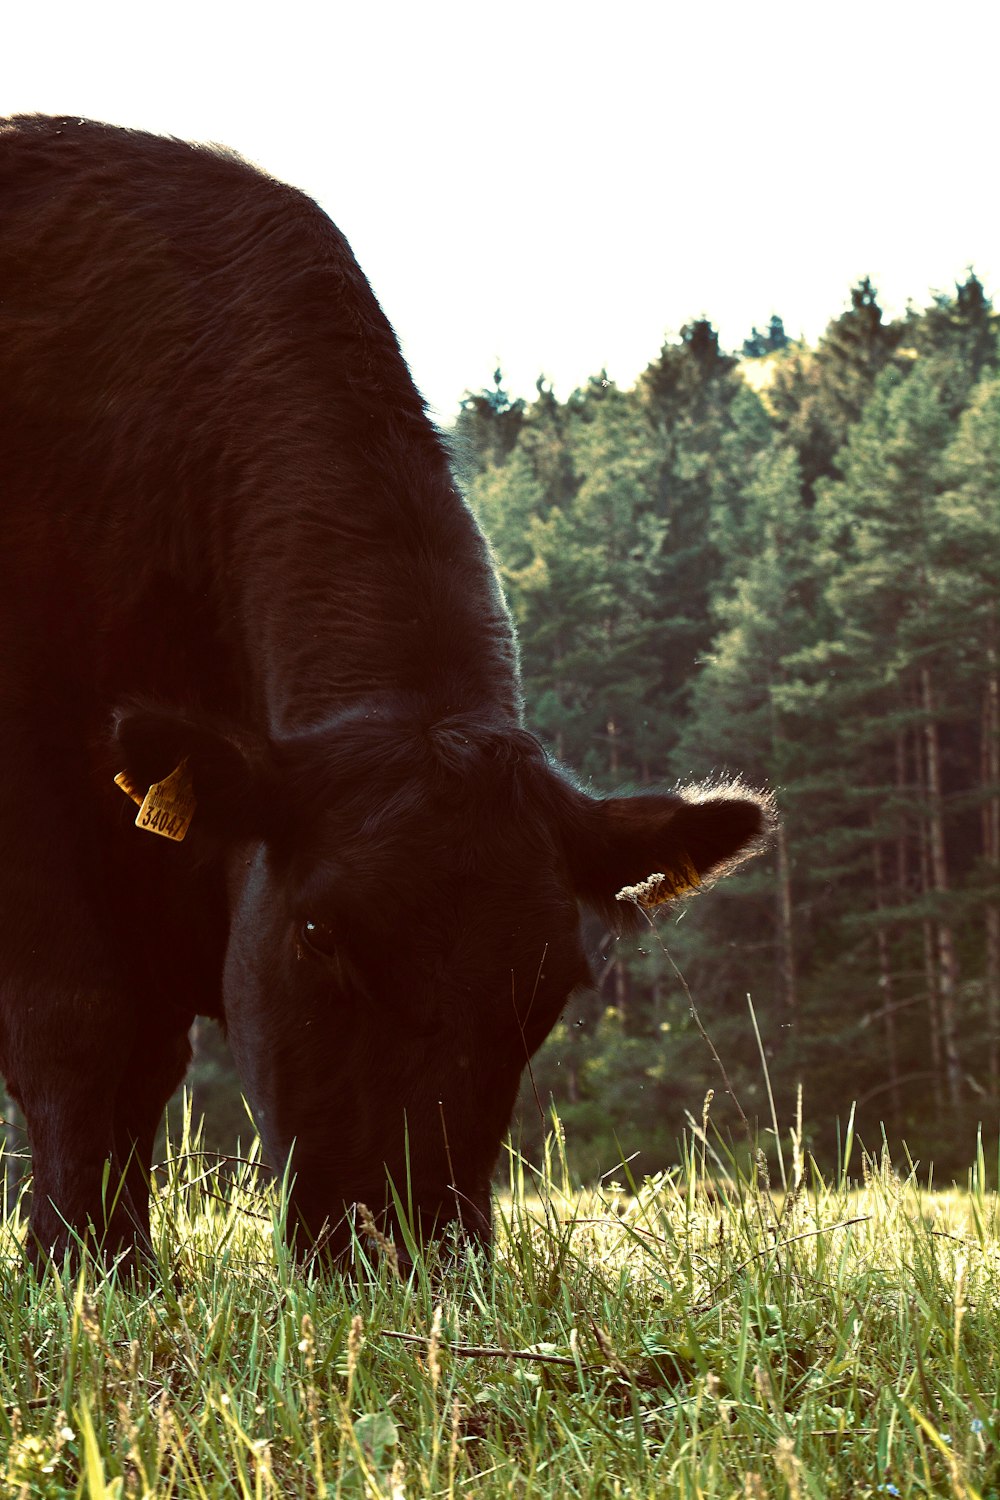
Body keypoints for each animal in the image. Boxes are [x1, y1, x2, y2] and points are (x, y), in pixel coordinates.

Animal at [0, 114, 773, 1266]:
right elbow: (81, 1028)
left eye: (555, 979)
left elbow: (143, 1066)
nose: (406, 1248)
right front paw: (85, 1265)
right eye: (321, 935)